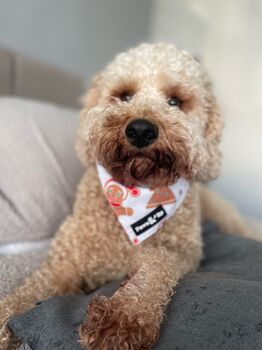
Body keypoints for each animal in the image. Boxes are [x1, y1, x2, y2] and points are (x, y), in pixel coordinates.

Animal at [0, 42, 260, 348]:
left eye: (174, 101)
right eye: (124, 95)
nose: (140, 129)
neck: (137, 192)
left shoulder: (184, 254)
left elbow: (157, 264)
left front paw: (122, 317)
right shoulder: (63, 264)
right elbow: (25, 294)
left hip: (227, 218)